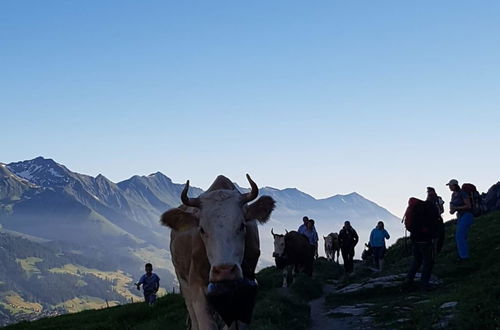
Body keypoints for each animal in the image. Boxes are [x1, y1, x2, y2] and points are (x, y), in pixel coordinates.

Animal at [162, 174, 276, 328]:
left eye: (242, 225)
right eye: (202, 229)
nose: (224, 270)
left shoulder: (244, 296)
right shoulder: (196, 287)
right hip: (183, 282)